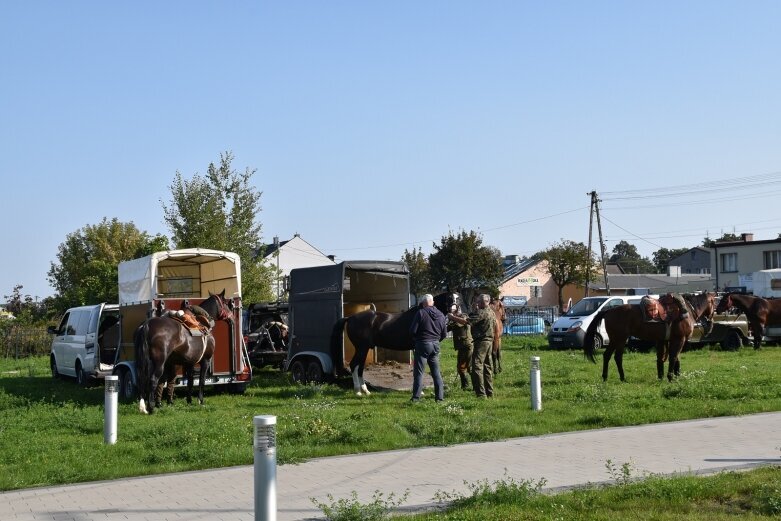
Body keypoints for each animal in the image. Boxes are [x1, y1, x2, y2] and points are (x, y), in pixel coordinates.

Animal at [328, 292, 460, 394]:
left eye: (457, 298)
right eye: (449, 298)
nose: (457, 310)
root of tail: (350, 318)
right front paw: (420, 391)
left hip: (363, 349)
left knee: (359, 367)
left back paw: (365, 390)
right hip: (361, 348)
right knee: (354, 365)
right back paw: (358, 391)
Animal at [580, 292, 716, 382]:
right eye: (714, 303)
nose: (710, 322)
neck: (687, 310)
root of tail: (608, 311)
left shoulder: (665, 340)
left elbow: (667, 358)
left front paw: (665, 376)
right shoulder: (679, 339)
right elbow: (673, 358)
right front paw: (671, 377)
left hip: (616, 340)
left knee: (609, 356)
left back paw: (609, 377)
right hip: (619, 339)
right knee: (615, 357)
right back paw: (619, 377)